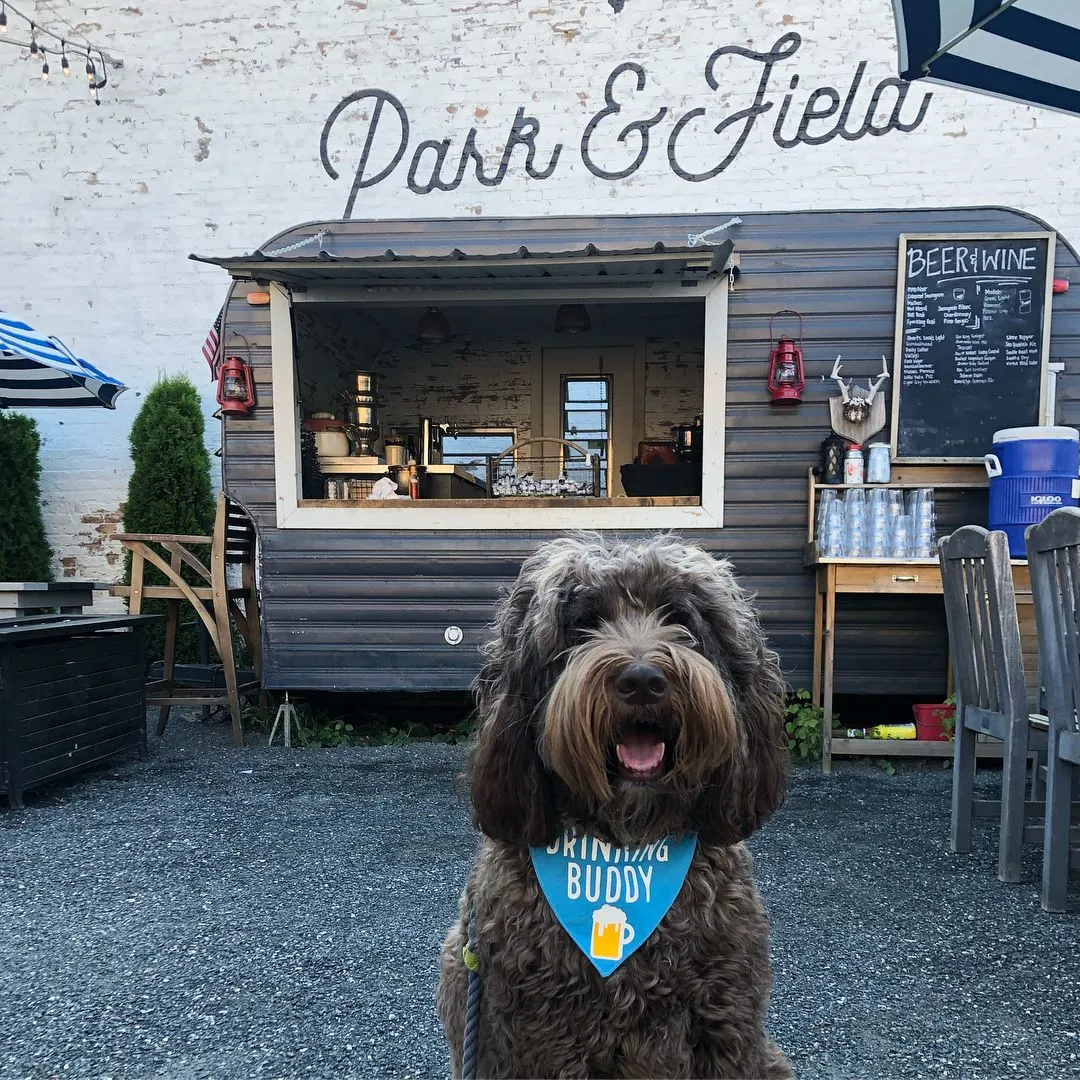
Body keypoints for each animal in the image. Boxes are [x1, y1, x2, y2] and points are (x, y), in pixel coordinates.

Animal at [434, 535, 790, 1075]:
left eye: (680, 618)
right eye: (582, 624)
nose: (643, 680)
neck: (624, 843)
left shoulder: (728, 1028)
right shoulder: (531, 1041)